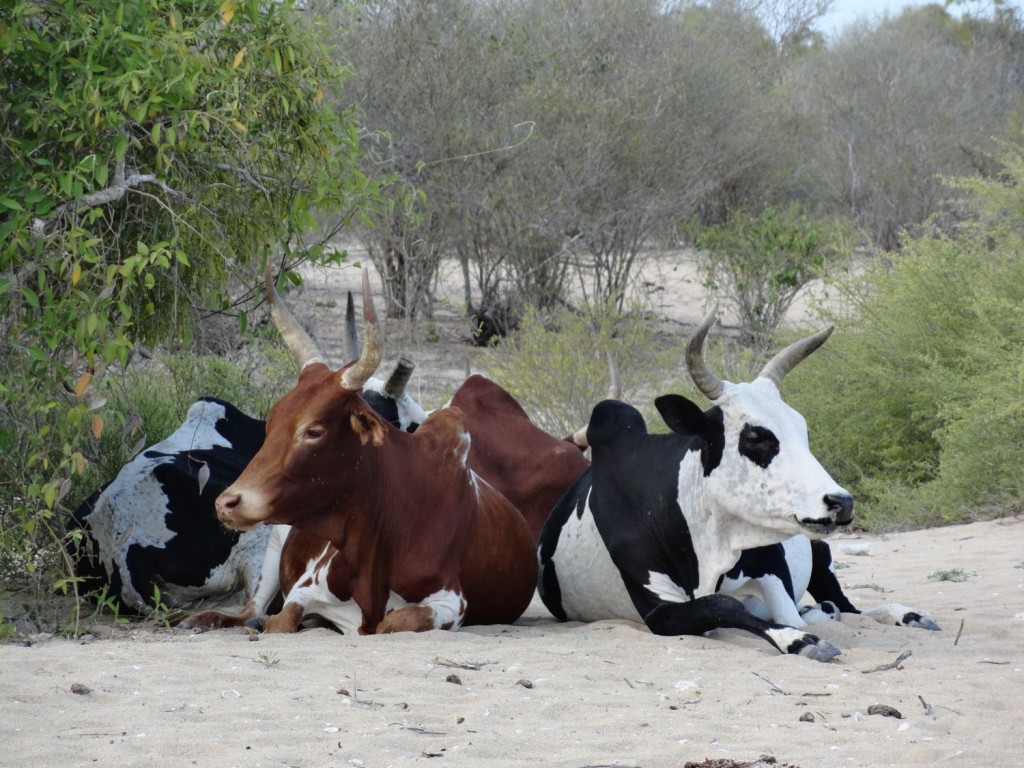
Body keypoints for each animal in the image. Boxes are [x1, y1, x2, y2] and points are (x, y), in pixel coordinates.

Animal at [184, 268, 536, 634]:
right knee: (250, 610)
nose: (227, 503)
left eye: (314, 431)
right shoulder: (304, 587)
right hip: (272, 546)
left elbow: (394, 621)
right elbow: (280, 621)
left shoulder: (451, 602)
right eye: (271, 422)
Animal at [536, 311, 856, 663]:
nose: (841, 502)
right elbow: (723, 605)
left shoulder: (773, 568)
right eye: (755, 436)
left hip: (821, 555)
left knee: (840, 602)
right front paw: (800, 640)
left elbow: (785, 611)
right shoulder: (659, 610)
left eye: (802, 428)